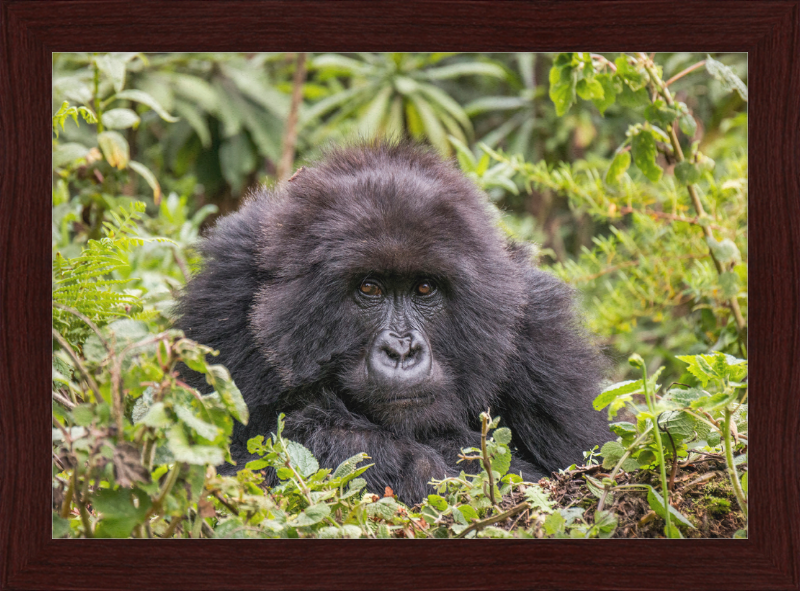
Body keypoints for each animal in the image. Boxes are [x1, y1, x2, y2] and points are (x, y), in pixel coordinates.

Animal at [177, 140, 608, 504]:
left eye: (424, 288)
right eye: (369, 288)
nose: (401, 350)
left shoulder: (541, 333)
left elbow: (583, 470)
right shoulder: (223, 300)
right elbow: (224, 469)